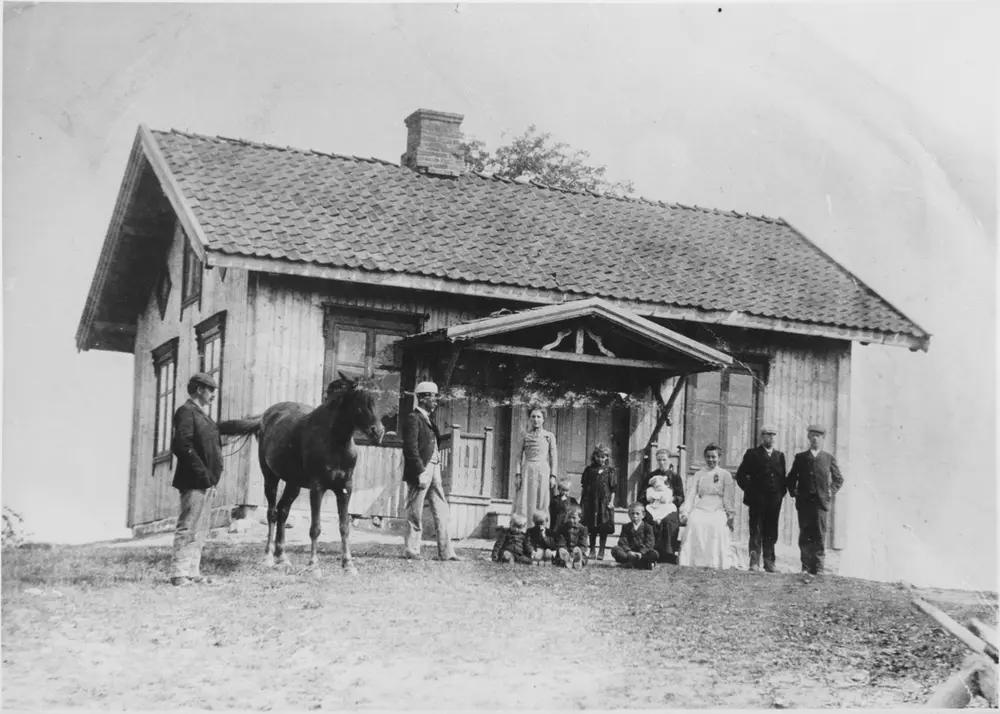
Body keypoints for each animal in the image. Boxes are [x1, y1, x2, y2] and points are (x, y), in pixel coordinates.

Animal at [218, 372, 382, 572]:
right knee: (272, 513)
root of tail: (265, 417)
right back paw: (268, 557)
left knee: (283, 511)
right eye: (359, 399)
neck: (334, 442)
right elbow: (315, 528)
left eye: (378, 398)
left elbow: (344, 526)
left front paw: (348, 565)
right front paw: (314, 565)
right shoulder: (317, 487)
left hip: (293, 483)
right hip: (270, 477)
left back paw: (282, 557)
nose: (378, 432)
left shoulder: (345, 488)